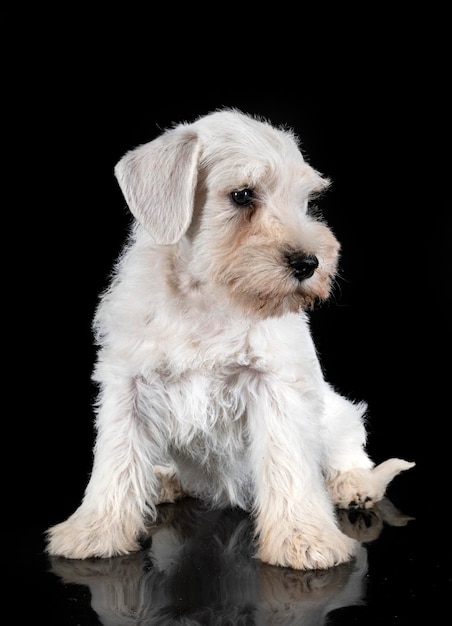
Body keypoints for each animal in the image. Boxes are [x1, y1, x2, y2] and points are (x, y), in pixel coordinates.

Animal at [46, 109, 414, 568]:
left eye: (305, 201)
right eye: (242, 195)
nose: (309, 263)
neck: (208, 297)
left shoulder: (276, 388)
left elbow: (288, 464)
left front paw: (305, 539)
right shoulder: (128, 385)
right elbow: (114, 462)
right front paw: (93, 530)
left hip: (336, 413)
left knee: (350, 450)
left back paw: (353, 486)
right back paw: (163, 479)